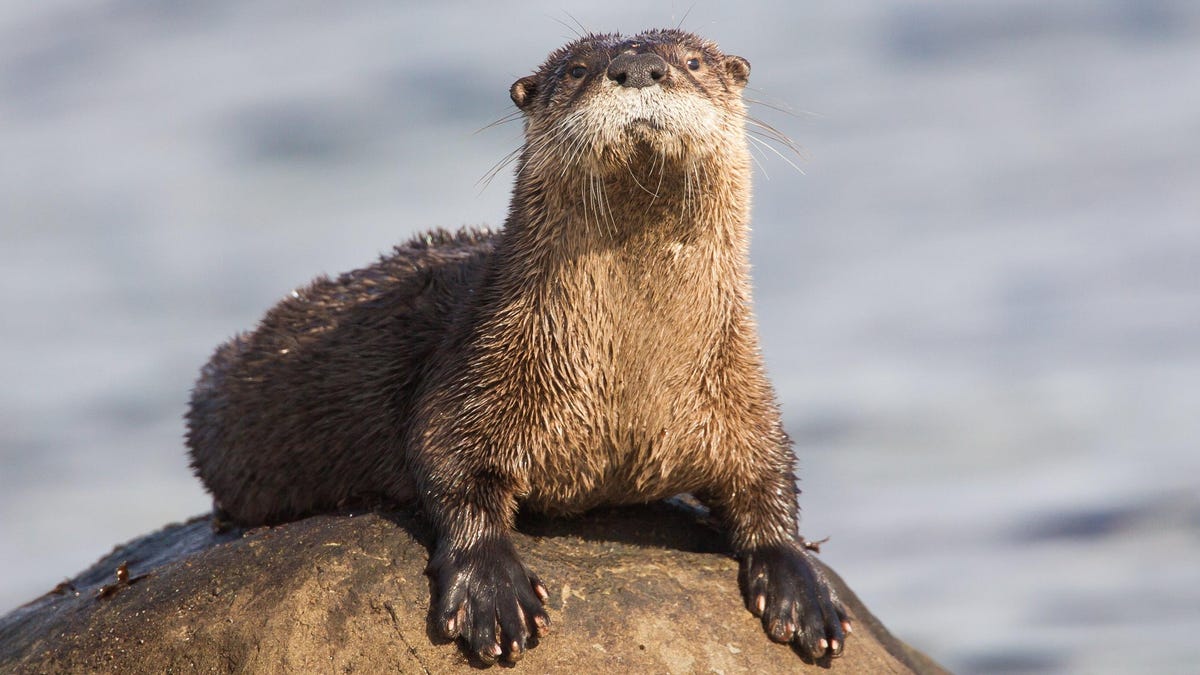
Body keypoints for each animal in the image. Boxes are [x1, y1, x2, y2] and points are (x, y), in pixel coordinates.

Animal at [184, 28, 844, 658]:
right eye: (576, 69)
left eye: (692, 61)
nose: (637, 66)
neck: (629, 384)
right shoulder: (479, 366)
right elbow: (448, 465)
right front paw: (492, 591)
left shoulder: (737, 389)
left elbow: (772, 475)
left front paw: (800, 581)